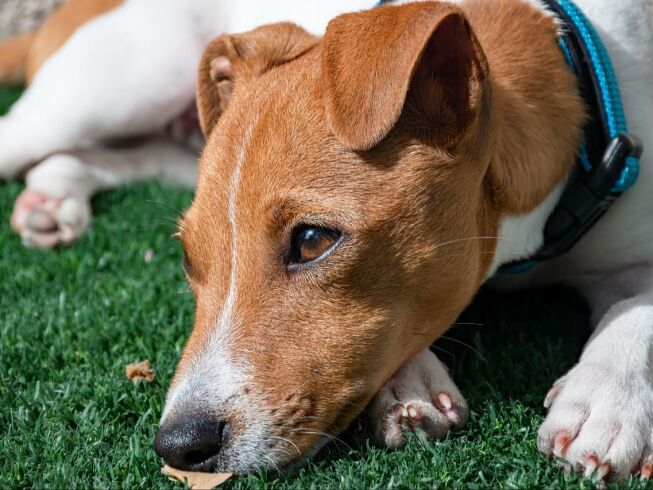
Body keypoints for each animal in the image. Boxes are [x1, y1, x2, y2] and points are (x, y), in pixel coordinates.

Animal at [150, 0, 652, 482]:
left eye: (312, 240)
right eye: (188, 258)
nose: (178, 445)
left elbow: (635, 308)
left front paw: (606, 405)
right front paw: (410, 385)